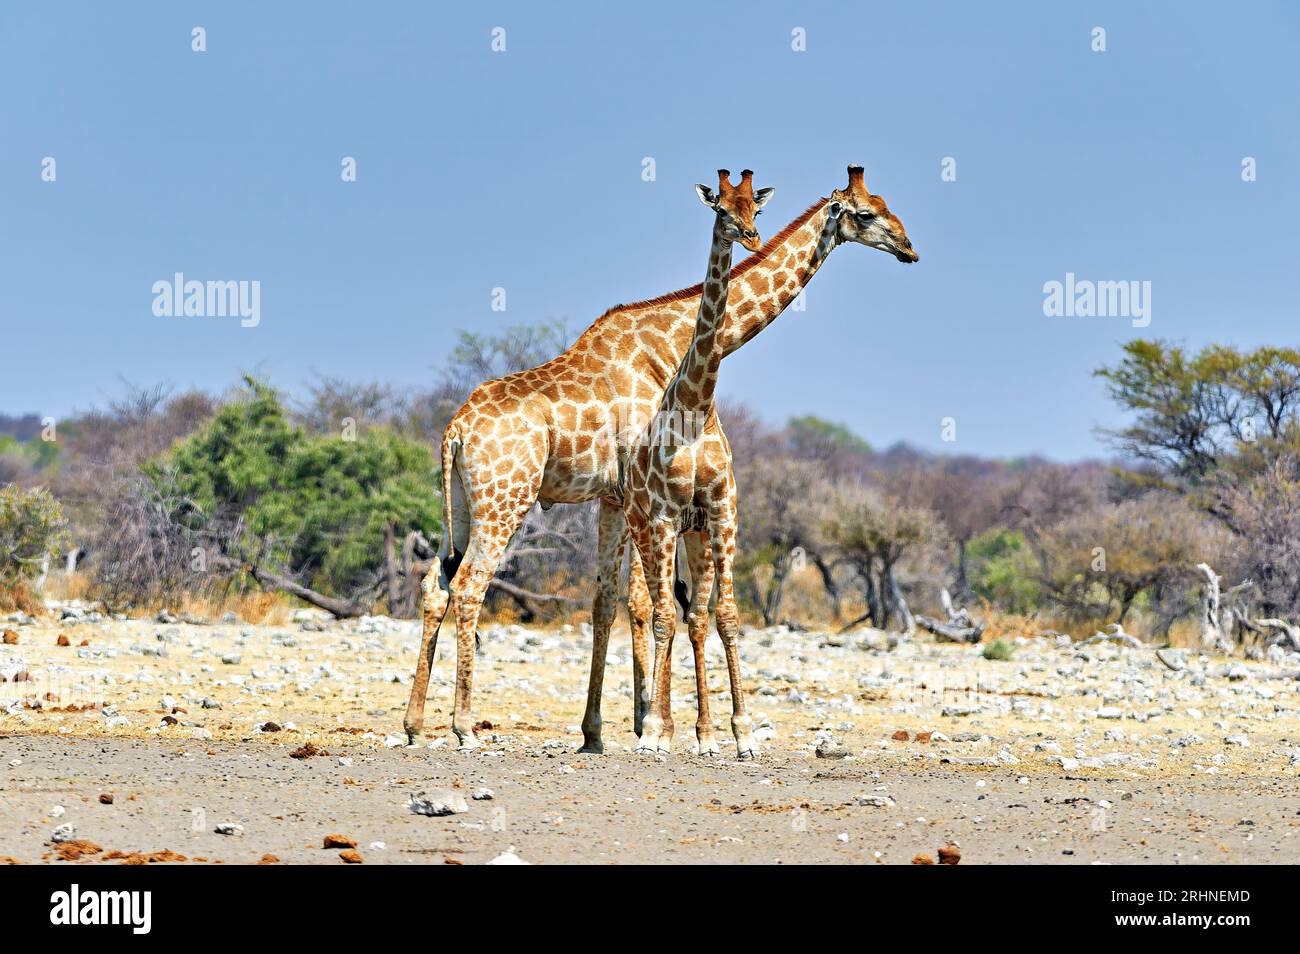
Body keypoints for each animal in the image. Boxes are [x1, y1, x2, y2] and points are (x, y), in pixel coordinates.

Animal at [400, 164, 920, 748]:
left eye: (887, 204)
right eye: (866, 214)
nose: (908, 248)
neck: (671, 342)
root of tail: (455, 430)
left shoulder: (614, 498)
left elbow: (613, 602)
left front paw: (606, 729)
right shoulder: (643, 497)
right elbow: (651, 603)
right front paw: (654, 721)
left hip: (462, 503)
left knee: (435, 584)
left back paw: (415, 723)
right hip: (505, 500)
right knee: (470, 587)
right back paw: (464, 724)